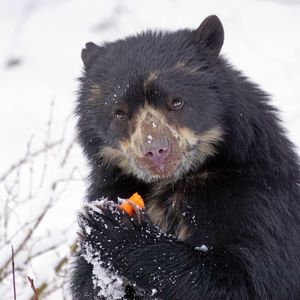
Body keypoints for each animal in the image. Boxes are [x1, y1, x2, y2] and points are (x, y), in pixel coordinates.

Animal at [71, 16, 300, 300]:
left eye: (177, 102)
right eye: (119, 112)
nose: (155, 151)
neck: (174, 182)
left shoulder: (257, 198)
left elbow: (250, 278)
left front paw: (112, 228)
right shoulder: (113, 185)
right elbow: (83, 281)